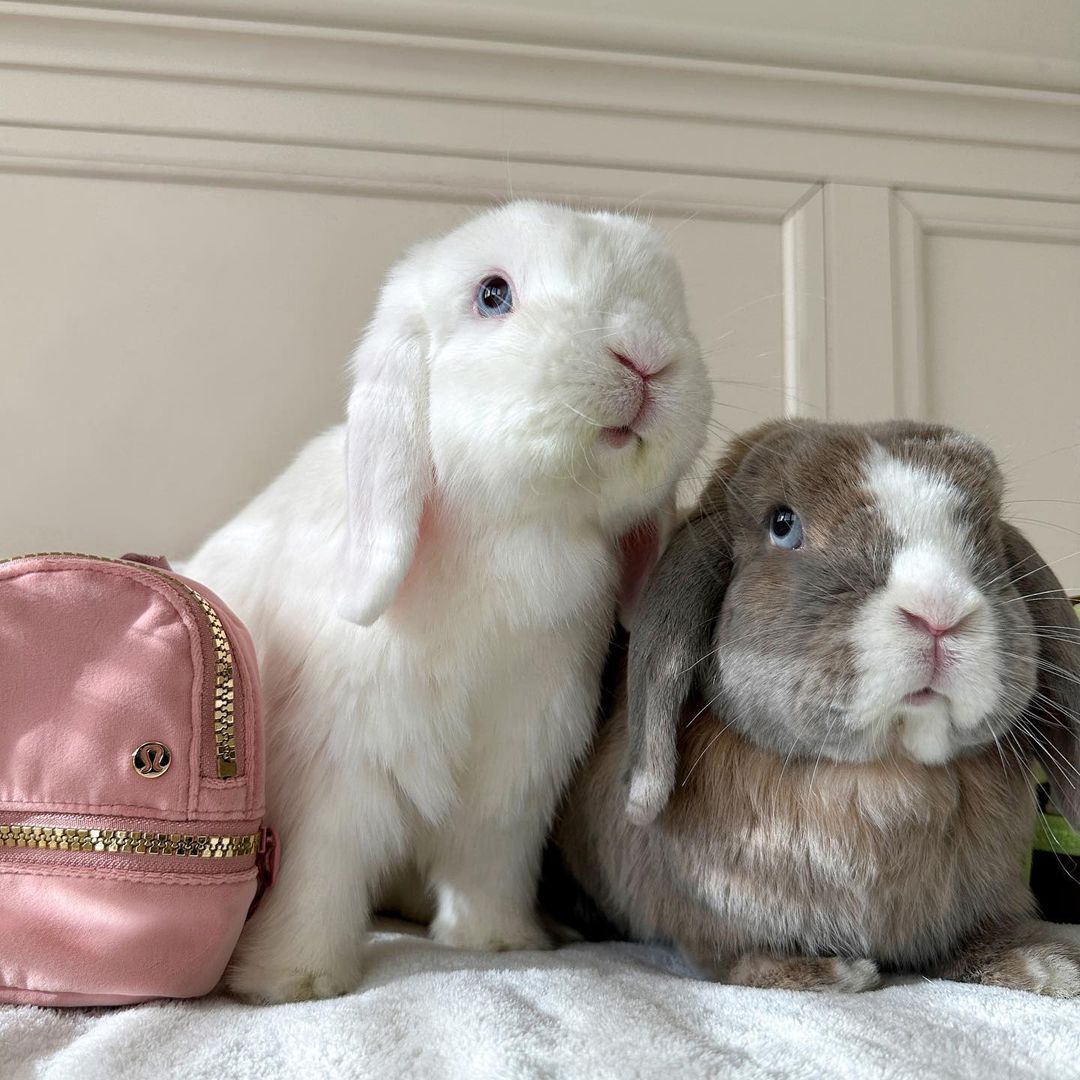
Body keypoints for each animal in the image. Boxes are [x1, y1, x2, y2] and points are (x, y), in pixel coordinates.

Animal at [185, 201, 712, 1003]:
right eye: (493, 295)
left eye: (671, 297)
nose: (647, 355)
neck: (518, 535)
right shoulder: (334, 773)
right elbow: (319, 875)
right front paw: (293, 980)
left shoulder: (514, 775)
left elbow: (489, 865)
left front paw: (499, 942)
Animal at [552, 418, 1080, 995]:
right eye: (783, 525)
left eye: (985, 531)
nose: (939, 611)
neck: (882, 780)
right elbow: (734, 957)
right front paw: (828, 973)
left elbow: (974, 939)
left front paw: (1047, 965)